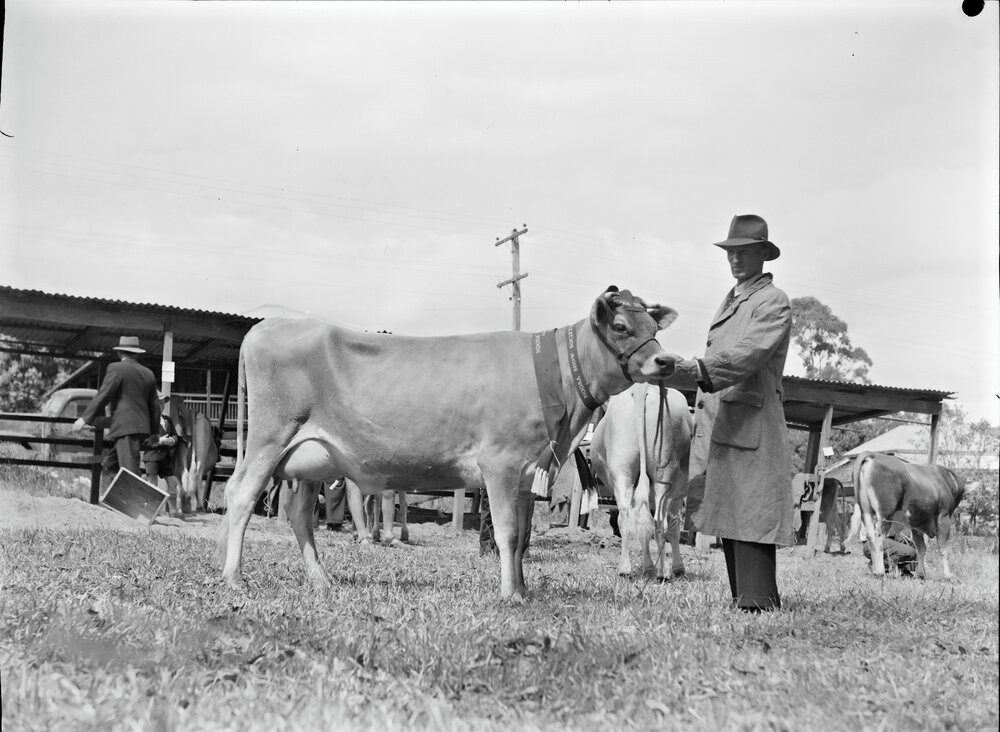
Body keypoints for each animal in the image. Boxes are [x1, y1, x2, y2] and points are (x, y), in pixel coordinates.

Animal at [216, 286, 678, 601]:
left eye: (654, 327)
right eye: (621, 327)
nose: (666, 361)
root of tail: (265, 326)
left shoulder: (527, 472)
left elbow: (523, 537)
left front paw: (523, 590)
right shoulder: (500, 463)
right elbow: (508, 532)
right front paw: (509, 596)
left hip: (310, 458)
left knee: (299, 515)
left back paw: (320, 580)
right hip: (269, 437)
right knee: (240, 495)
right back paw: (234, 578)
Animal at [589, 383, 691, 581]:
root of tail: (642, 388)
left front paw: (648, 567)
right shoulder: (677, 495)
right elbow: (674, 527)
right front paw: (677, 567)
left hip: (622, 470)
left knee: (626, 517)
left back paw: (624, 569)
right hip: (664, 474)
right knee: (660, 521)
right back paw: (663, 572)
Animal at [851, 451, 966, 580]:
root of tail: (876, 455)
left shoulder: (916, 524)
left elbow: (921, 548)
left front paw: (921, 574)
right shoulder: (943, 517)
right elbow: (942, 547)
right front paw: (948, 575)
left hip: (866, 511)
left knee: (870, 536)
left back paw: (876, 570)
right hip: (885, 512)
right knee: (879, 537)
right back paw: (880, 572)